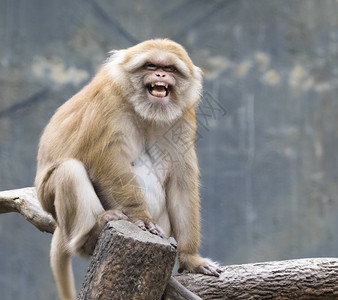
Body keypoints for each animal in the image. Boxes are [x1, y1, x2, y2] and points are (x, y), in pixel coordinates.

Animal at [33, 39, 219, 300]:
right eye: (151, 65)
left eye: (169, 68)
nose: (160, 74)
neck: (144, 110)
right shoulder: (108, 101)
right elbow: (106, 160)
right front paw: (140, 217)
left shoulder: (182, 117)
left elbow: (181, 181)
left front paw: (191, 258)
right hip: (54, 206)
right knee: (68, 171)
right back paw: (91, 234)